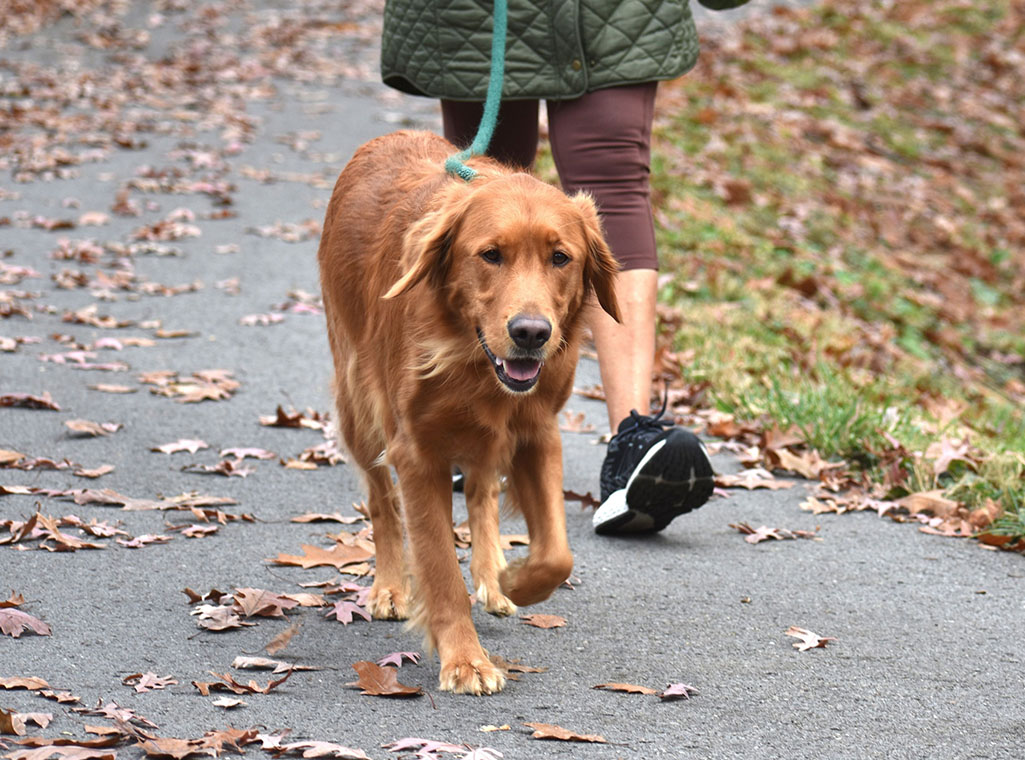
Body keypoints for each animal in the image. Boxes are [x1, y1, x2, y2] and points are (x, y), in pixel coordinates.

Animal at [315, 130, 619, 693]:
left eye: (560, 258)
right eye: (491, 255)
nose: (531, 333)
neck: (471, 361)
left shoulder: (538, 433)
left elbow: (556, 555)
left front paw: (513, 580)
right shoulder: (417, 454)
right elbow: (437, 565)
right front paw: (464, 660)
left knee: (482, 491)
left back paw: (491, 575)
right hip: (358, 406)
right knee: (381, 502)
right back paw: (389, 587)